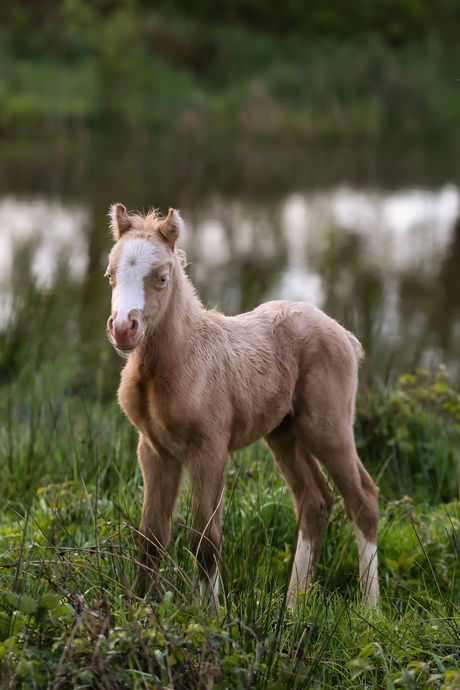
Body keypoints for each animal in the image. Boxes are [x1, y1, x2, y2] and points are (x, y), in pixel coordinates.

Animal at [106, 202, 380, 604]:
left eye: (161, 278)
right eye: (111, 276)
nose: (124, 328)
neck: (177, 361)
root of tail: (344, 333)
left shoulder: (209, 449)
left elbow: (205, 540)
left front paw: (208, 615)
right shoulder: (155, 450)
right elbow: (151, 537)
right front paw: (139, 606)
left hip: (328, 428)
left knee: (363, 499)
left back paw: (369, 608)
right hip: (284, 433)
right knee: (315, 499)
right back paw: (293, 606)